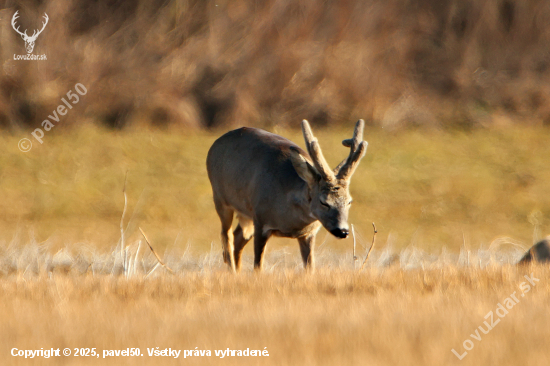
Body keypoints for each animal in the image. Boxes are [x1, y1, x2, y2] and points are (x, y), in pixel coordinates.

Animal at [205, 118, 368, 270]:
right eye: (323, 202)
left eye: (349, 201)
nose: (342, 231)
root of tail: (215, 144)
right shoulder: (261, 221)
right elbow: (258, 266)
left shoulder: (308, 234)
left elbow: (310, 268)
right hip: (220, 198)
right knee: (226, 237)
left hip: (247, 214)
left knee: (237, 238)